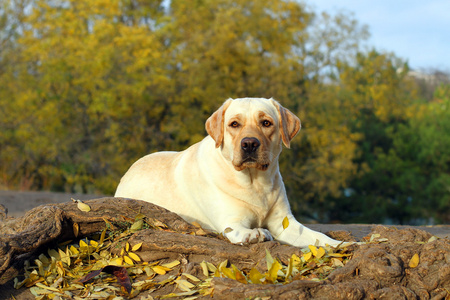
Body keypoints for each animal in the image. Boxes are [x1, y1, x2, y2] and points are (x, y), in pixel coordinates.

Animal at [115, 97, 342, 247]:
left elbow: (320, 238)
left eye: (266, 123)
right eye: (234, 124)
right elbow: (242, 230)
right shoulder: (230, 222)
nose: (249, 144)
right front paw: (256, 234)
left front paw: (343, 245)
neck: (255, 183)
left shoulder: (285, 224)